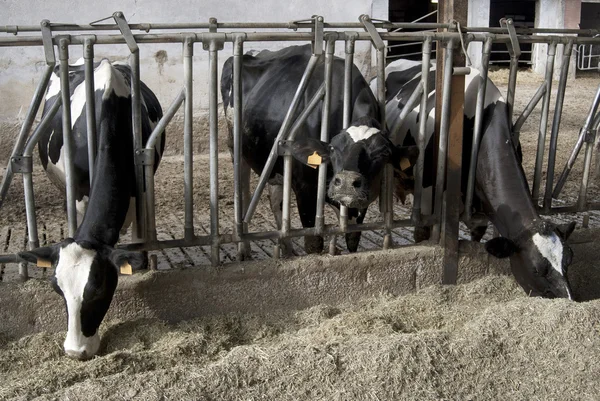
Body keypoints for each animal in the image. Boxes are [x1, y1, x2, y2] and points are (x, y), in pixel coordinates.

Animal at [220, 46, 418, 253]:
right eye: (332, 148)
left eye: (383, 152)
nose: (346, 183)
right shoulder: (305, 189)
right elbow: (314, 243)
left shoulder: (360, 202)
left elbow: (352, 239)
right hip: (236, 148)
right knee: (243, 197)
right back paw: (244, 249)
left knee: (275, 201)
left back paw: (287, 251)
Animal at [380, 58, 576, 296]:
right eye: (536, 270)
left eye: (568, 261)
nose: (569, 299)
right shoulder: (427, 197)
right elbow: (422, 234)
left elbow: (477, 234)